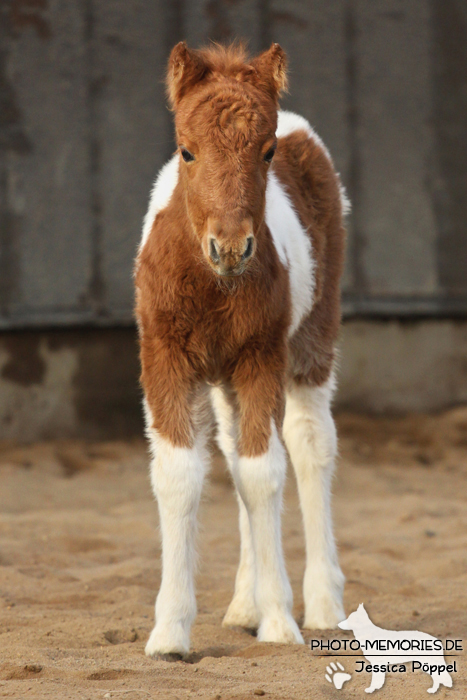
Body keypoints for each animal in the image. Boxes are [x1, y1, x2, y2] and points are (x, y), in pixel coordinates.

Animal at [135, 42, 348, 656]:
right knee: (230, 449)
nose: (231, 247)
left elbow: (263, 473)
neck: (213, 285)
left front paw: (280, 621)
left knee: (309, 444)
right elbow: (181, 474)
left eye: (267, 150)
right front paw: (170, 632)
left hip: (311, 340)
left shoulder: (260, 358)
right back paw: (242, 605)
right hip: (222, 377)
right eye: (187, 150)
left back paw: (323, 605)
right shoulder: (165, 359)